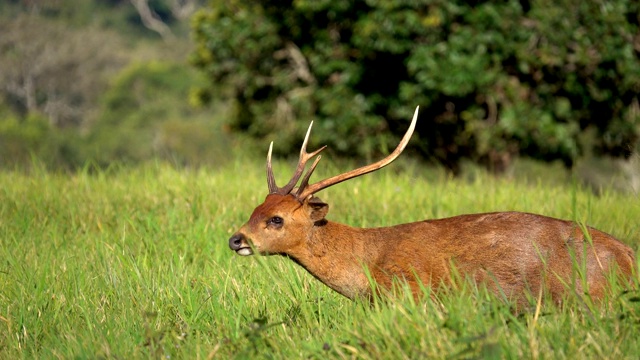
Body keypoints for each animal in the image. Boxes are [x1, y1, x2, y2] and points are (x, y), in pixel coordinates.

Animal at [229, 105, 636, 306]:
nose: (236, 239)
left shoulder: (408, 293)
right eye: (256, 209)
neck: (367, 264)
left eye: (277, 219)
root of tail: (630, 256)